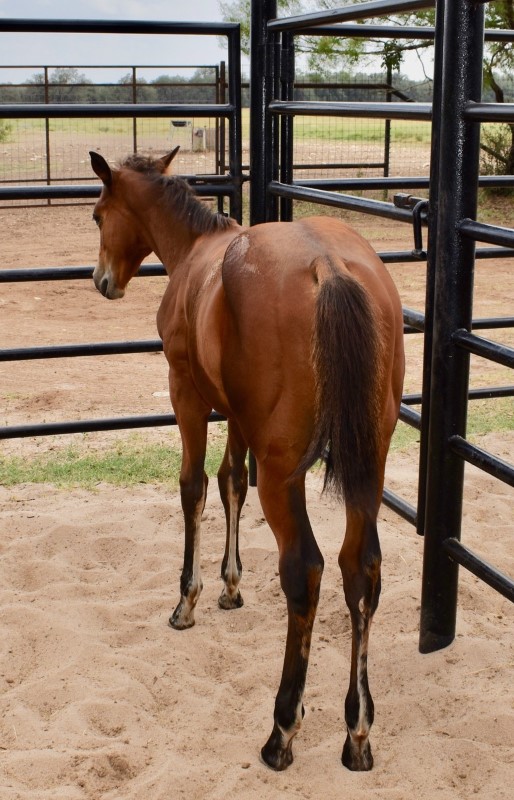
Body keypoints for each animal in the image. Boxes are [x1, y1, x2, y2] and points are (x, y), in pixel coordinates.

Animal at [89, 147, 404, 772]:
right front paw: (231, 586)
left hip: (284, 473)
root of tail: (330, 267)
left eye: (97, 215)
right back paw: (357, 731)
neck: (197, 252)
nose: (102, 280)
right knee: (361, 570)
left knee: (306, 570)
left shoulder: (187, 395)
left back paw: (282, 729)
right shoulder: (236, 416)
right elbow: (231, 481)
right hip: (369, 465)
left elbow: (193, 486)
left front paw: (187, 600)